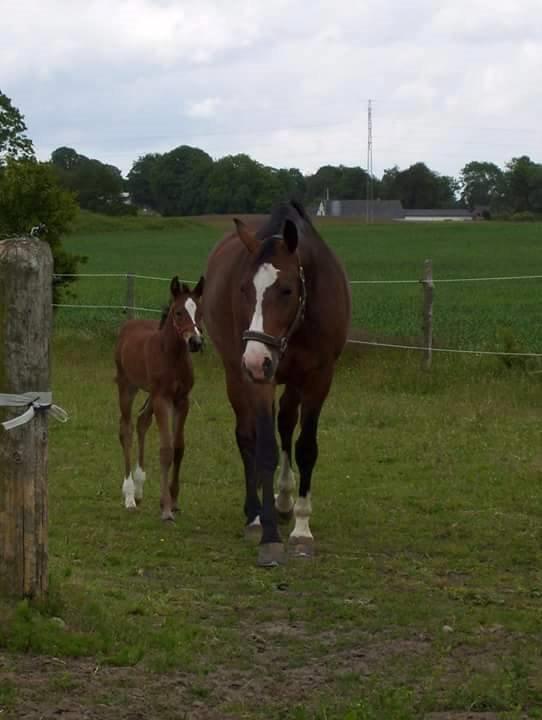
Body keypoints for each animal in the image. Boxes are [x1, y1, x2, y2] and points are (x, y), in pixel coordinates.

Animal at [115, 274, 206, 516]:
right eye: (178, 312)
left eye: (200, 311)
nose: (196, 342)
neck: (171, 357)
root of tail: (130, 323)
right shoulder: (162, 399)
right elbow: (166, 449)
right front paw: (165, 507)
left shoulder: (182, 400)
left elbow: (178, 448)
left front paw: (173, 500)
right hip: (127, 387)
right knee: (126, 429)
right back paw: (129, 495)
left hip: (150, 394)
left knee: (141, 422)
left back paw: (138, 489)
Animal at [204, 200, 352, 564]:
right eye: (244, 288)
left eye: (286, 289)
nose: (256, 359)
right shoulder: (260, 380)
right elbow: (265, 449)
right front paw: (269, 534)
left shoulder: (318, 377)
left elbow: (305, 446)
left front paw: (301, 528)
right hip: (236, 373)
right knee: (248, 437)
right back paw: (255, 515)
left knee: (285, 422)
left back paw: (283, 501)